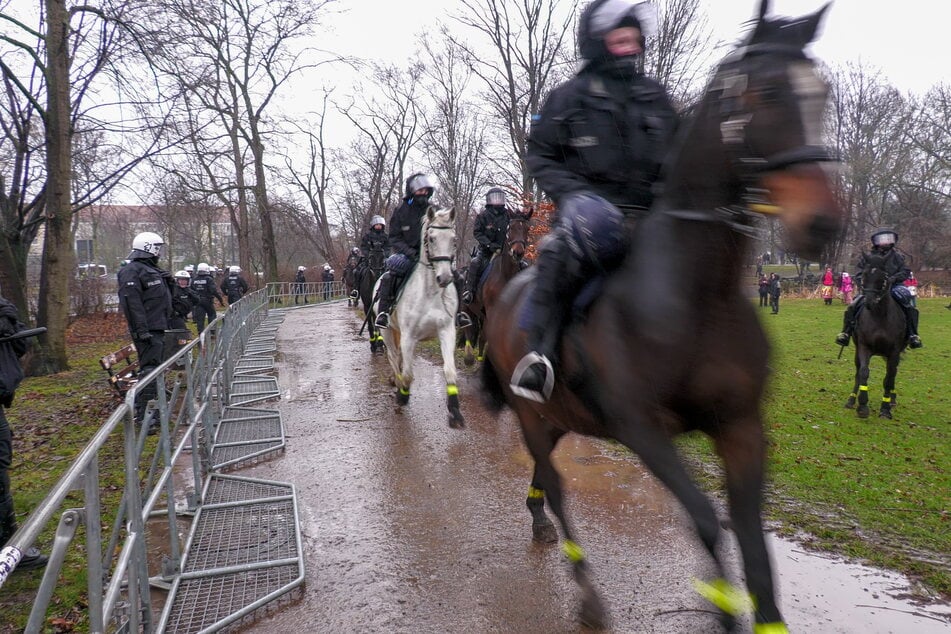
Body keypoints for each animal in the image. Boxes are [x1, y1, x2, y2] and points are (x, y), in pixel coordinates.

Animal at [372, 205, 464, 428]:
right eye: (431, 238)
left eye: (454, 239)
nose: (444, 278)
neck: (430, 293)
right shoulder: (409, 337)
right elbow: (408, 373)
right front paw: (402, 395)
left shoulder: (447, 331)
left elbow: (450, 371)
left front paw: (454, 410)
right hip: (387, 331)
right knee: (393, 357)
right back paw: (397, 383)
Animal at [462, 207, 536, 366]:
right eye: (511, 227)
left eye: (527, 229)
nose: (518, 252)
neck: (505, 275)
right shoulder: (491, 310)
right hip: (467, 306)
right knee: (469, 328)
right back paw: (469, 357)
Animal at [484, 2, 840, 628]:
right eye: (770, 91)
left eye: (820, 93)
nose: (822, 225)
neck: (695, 300)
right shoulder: (643, 429)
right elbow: (705, 520)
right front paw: (722, 610)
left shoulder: (741, 426)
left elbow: (753, 545)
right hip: (531, 412)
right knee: (556, 485)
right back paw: (587, 594)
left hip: (555, 416)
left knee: (543, 477)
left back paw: (538, 521)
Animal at [844, 252, 912, 420]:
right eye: (864, 275)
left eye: (884, 277)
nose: (869, 301)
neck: (879, 316)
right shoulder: (864, 347)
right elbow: (863, 372)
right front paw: (862, 406)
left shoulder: (894, 352)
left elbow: (888, 378)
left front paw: (885, 408)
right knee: (858, 372)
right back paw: (851, 400)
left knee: (893, 374)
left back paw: (892, 399)